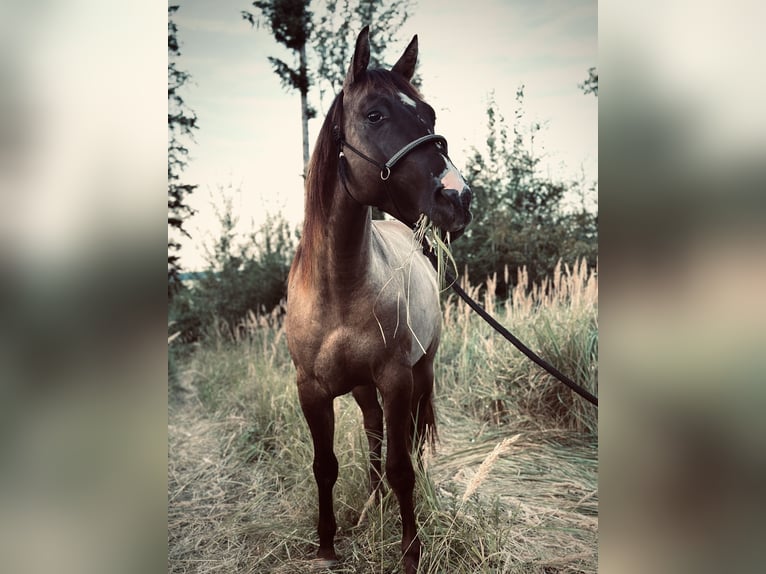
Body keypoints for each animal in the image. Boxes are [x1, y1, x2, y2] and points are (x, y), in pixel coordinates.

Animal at [285, 26, 472, 574]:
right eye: (374, 115)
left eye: (429, 114)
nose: (457, 197)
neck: (341, 286)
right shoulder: (311, 391)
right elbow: (325, 465)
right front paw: (326, 544)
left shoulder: (395, 378)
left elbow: (402, 464)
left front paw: (411, 550)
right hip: (363, 388)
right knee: (372, 433)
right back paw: (373, 499)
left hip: (420, 372)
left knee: (407, 437)